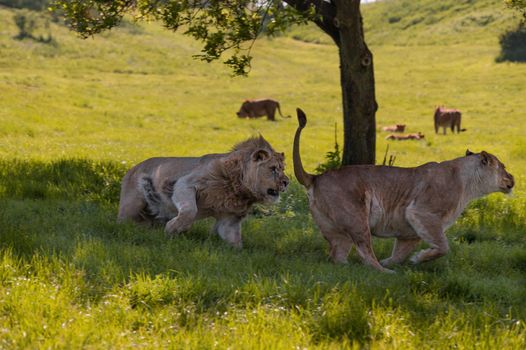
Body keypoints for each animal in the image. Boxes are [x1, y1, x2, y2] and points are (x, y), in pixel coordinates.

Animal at [118, 135, 290, 247]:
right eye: (273, 169)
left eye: (282, 169)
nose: (287, 182)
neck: (239, 188)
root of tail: (131, 168)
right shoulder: (185, 183)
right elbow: (190, 211)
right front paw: (173, 228)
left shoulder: (230, 218)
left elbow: (235, 241)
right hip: (131, 207)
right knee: (122, 222)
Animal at [294, 108, 516, 272]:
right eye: (503, 166)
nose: (512, 178)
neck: (468, 184)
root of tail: (315, 177)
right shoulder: (422, 213)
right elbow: (443, 247)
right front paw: (416, 259)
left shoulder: (410, 232)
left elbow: (400, 254)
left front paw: (401, 261)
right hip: (357, 218)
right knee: (365, 253)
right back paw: (383, 272)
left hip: (336, 231)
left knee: (336, 256)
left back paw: (354, 269)